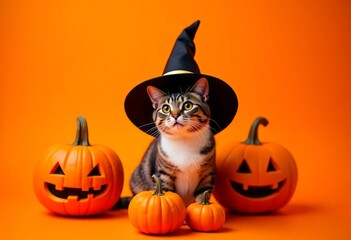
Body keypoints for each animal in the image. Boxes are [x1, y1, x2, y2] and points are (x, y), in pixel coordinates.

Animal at [128, 77, 216, 206]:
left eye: (188, 105)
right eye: (166, 108)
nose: (175, 115)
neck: (184, 141)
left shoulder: (207, 175)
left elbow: (202, 196)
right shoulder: (164, 176)